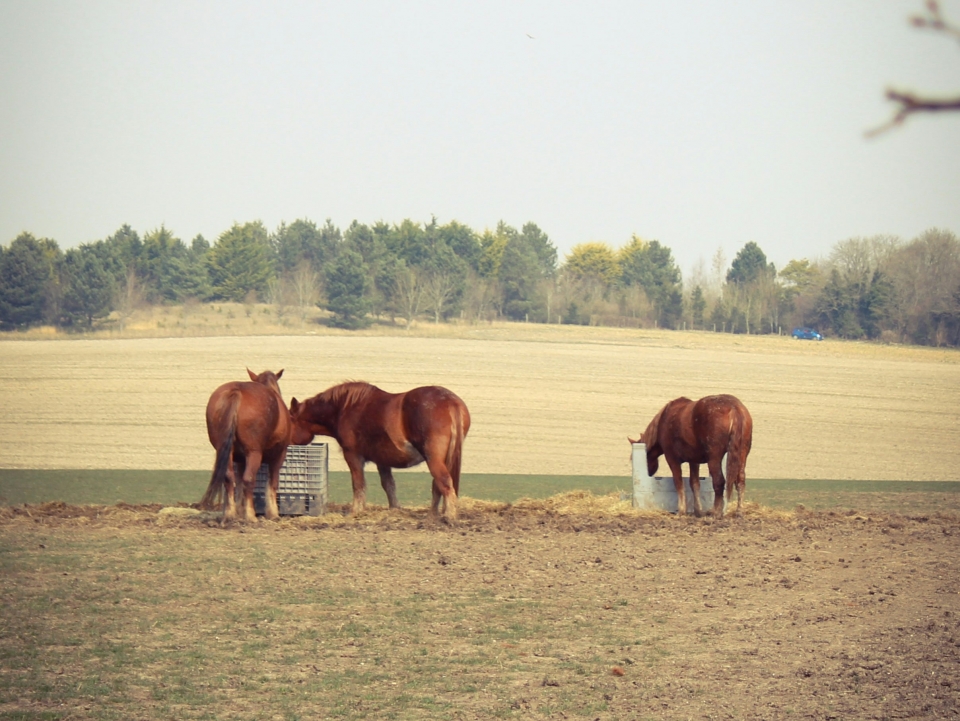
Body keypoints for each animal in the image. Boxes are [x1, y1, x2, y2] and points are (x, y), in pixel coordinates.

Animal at [199, 369, 292, 522]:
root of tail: (237, 390)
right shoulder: (279, 455)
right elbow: (272, 483)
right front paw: (273, 513)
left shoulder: (240, 460)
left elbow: (238, 484)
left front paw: (239, 510)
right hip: (254, 453)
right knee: (248, 479)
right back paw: (250, 516)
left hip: (227, 452)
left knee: (229, 478)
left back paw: (230, 514)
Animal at [288, 382, 470, 520]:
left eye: (289, 419)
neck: (344, 408)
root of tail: (450, 402)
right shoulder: (382, 460)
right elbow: (389, 484)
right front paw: (395, 509)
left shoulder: (353, 455)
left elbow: (358, 484)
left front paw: (356, 511)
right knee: (438, 485)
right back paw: (433, 515)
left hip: (433, 459)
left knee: (444, 482)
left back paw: (448, 516)